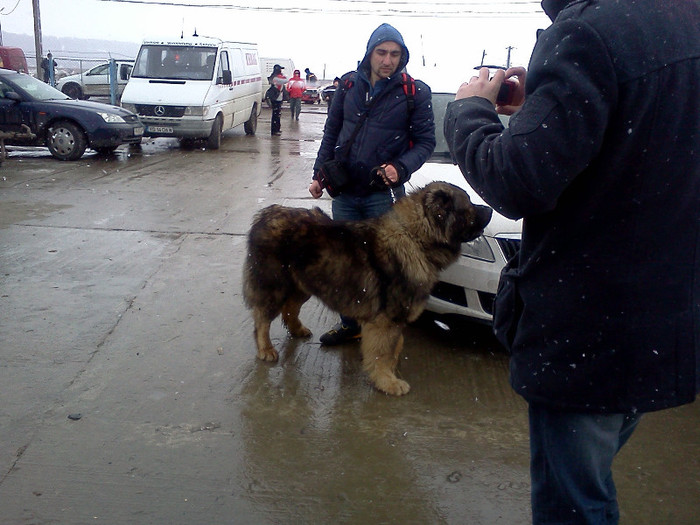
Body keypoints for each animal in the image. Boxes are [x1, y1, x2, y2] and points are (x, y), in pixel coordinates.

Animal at [243, 182, 494, 396]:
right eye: (468, 203)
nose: (491, 209)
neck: (415, 239)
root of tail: (265, 214)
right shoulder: (385, 319)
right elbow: (383, 351)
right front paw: (388, 382)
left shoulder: (394, 319)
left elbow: (395, 346)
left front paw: (388, 373)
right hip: (274, 284)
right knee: (262, 318)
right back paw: (266, 349)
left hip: (304, 283)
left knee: (290, 308)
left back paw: (297, 329)